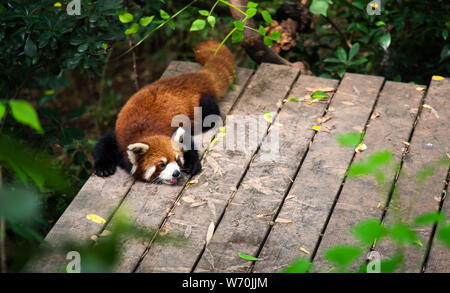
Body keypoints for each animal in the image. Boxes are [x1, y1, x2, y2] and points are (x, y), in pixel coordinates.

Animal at [93, 40, 237, 184]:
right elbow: (104, 143)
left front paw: (192, 163)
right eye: (162, 164)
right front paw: (103, 168)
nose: (176, 173)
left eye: (177, 160)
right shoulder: (120, 140)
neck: (144, 133)